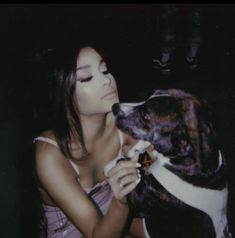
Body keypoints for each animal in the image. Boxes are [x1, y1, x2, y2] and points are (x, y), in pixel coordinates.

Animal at [110, 89, 231, 238]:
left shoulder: (138, 200)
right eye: (146, 98)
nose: (114, 107)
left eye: (145, 117)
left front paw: (110, 166)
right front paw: (138, 148)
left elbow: (122, 165)